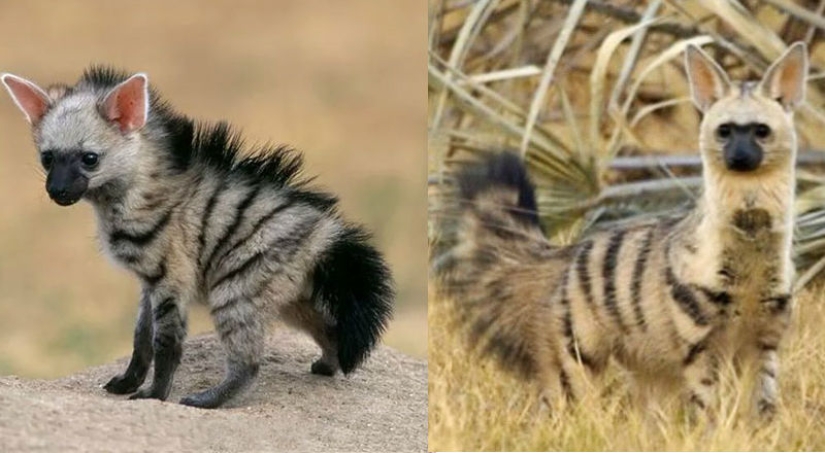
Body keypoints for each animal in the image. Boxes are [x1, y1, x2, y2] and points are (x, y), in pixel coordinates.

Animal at [1, 67, 394, 408]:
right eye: (48, 158)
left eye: (89, 159)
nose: (57, 191)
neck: (126, 200)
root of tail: (322, 233)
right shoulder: (149, 281)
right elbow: (141, 337)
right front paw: (126, 383)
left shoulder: (172, 274)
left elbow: (165, 343)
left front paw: (154, 395)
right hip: (292, 297)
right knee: (328, 328)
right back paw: (327, 366)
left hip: (236, 288)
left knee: (249, 361)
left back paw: (208, 400)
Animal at [431, 42, 807, 419]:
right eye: (725, 130)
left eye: (761, 131)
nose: (740, 157)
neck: (751, 253)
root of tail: (565, 255)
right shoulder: (699, 342)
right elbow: (707, 403)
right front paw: (713, 427)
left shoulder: (765, 338)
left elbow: (763, 400)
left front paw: (760, 427)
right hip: (578, 353)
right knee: (559, 404)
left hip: (650, 364)